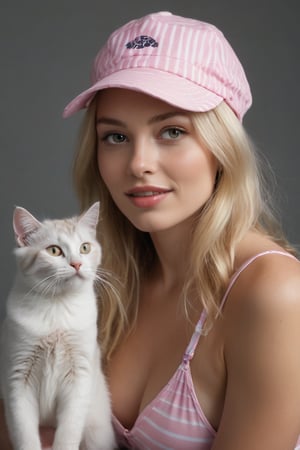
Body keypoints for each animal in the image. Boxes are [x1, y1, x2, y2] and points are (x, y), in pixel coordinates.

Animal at [0, 204, 115, 450]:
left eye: (84, 247)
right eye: (54, 251)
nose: (77, 264)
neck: (58, 307)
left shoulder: (79, 377)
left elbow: (68, 432)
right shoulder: (18, 379)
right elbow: (25, 434)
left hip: (97, 433)